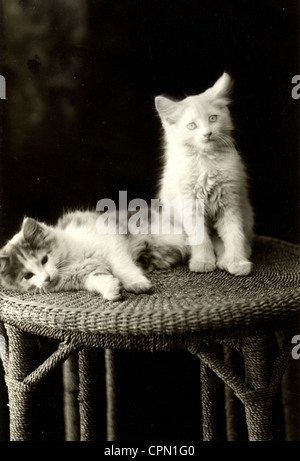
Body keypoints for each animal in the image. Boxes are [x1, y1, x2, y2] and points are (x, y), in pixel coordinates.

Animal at [0, 209, 188, 302]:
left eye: (44, 260)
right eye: (27, 276)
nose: (46, 278)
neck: (69, 262)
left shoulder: (111, 245)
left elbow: (122, 267)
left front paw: (136, 283)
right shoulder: (85, 275)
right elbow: (98, 279)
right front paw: (111, 290)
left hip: (170, 236)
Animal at [156, 71, 254, 274]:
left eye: (213, 119)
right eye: (192, 126)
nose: (207, 133)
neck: (206, 163)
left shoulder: (230, 201)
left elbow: (234, 234)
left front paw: (237, 261)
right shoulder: (190, 203)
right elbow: (200, 237)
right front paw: (203, 261)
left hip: (247, 212)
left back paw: (226, 259)